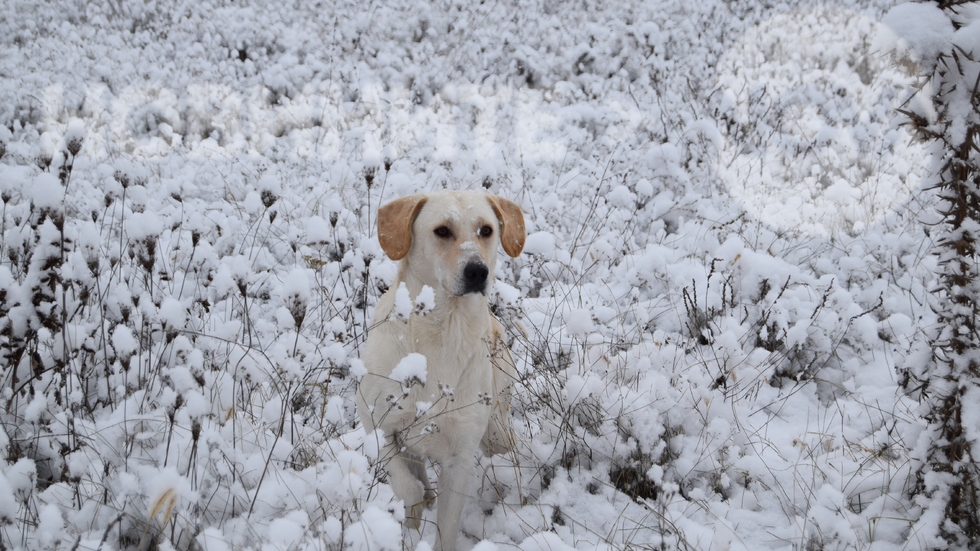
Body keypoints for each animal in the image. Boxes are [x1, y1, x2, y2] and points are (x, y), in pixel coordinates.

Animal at [356, 191, 524, 551]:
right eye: (442, 231)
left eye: (486, 230)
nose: (478, 271)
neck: (444, 330)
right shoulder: (375, 424)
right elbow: (407, 486)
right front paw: (413, 516)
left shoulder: (460, 458)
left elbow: (447, 526)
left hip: (497, 430)